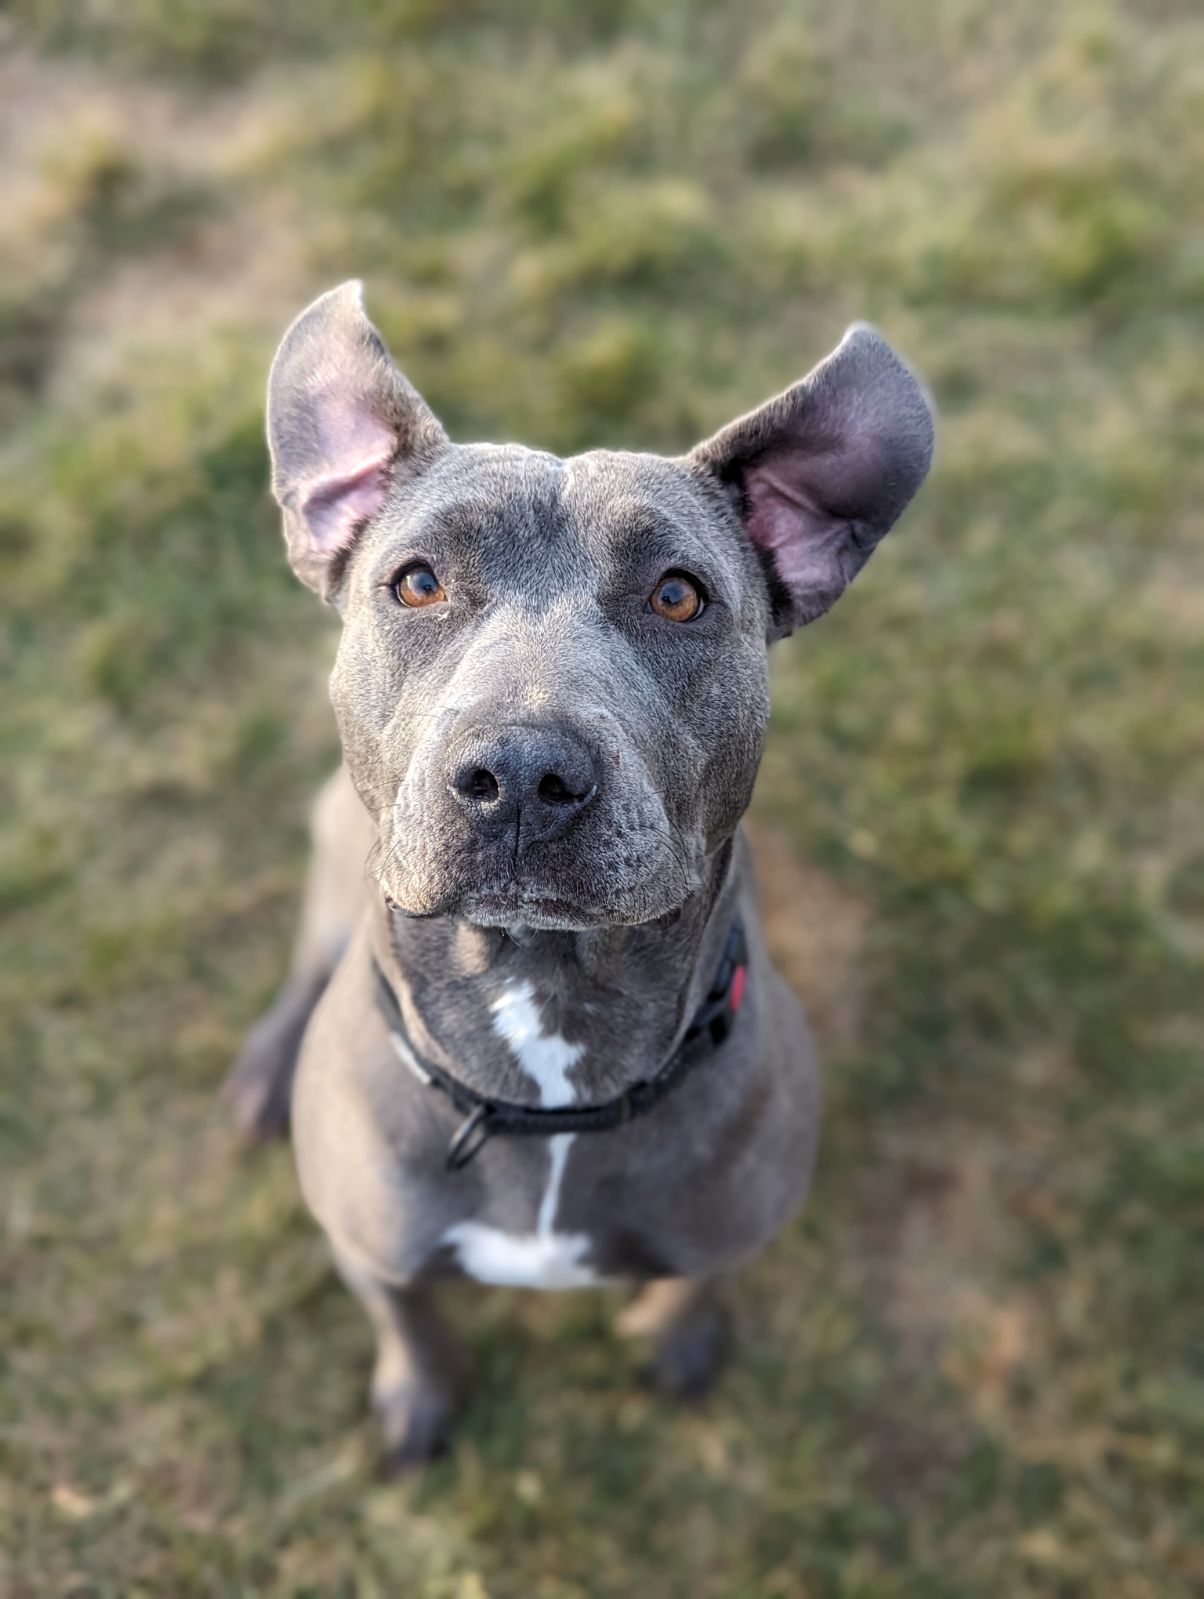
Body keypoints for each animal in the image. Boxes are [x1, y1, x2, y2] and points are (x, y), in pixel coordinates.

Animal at [225, 284, 933, 1464]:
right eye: (416, 583)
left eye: (679, 596)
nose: (520, 770)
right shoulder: (373, 1251)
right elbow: (408, 1316)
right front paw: (419, 1399)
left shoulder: (727, 1230)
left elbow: (694, 1284)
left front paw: (673, 1342)